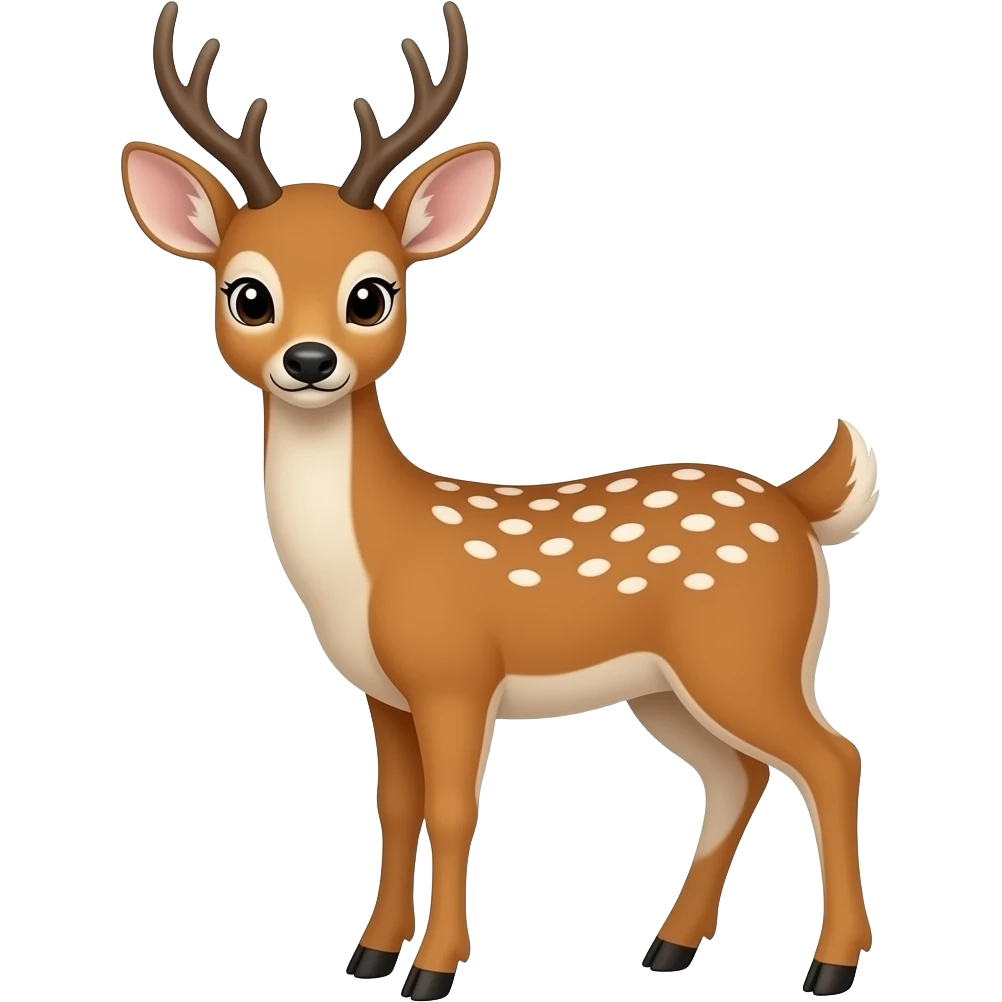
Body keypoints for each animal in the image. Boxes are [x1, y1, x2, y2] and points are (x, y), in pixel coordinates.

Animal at [121, 2, 879, 998]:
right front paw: (370, 955)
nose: (311, 361)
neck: (374, 559)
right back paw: (669, 948)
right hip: (669, 686)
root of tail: (796, 506)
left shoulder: (455, 672)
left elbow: (451, 811)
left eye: (373, 294)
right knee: (736, 777)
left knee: (832, 759)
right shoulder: (383, 691)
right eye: (247, 293)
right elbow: (395, 808)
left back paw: (828, 966)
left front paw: (434, 970)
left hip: (746, 652)